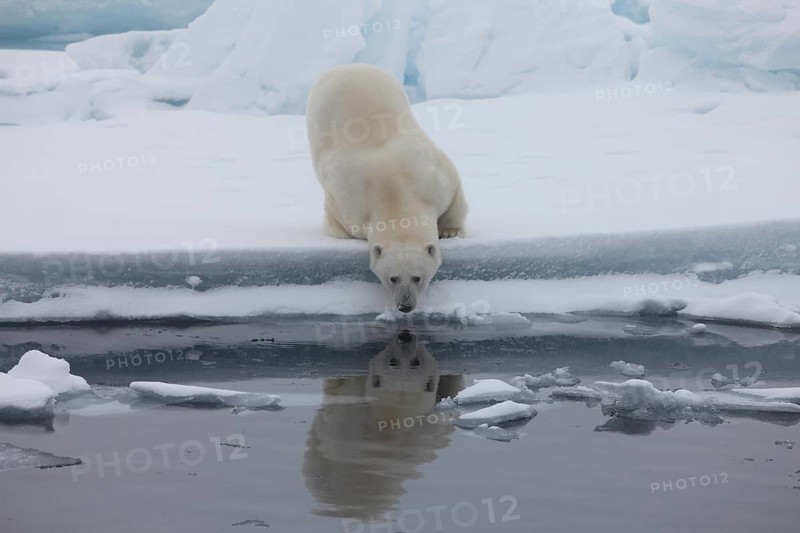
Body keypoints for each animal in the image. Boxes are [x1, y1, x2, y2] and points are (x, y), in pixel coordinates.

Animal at [306, 63, 468, 313]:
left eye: (417, 277)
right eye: (392, 278)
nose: (405, 306)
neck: (394, 192)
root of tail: (347, 66)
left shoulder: (431, 174)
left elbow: (454, 196)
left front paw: (450, 231)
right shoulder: (348, 203)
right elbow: (338, 225)